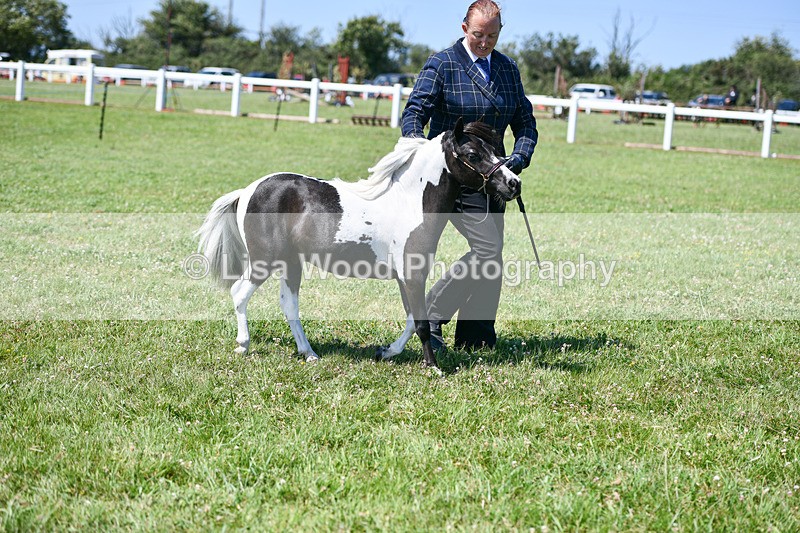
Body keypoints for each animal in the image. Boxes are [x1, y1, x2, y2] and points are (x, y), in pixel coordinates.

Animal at [196, 118, 521, 369]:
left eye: (494, 151)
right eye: (473, 154)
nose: (513, 184)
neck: (409, 203)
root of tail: (247, 190)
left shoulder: (406, 277)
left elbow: (411, 320)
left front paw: (387, 352)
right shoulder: (413, 275)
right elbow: (421, 323)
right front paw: (433, 367)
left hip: (291, 263)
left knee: (289, 305)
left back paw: (309, 353)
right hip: (264, 261)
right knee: (239, 293)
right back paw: (243, 345)